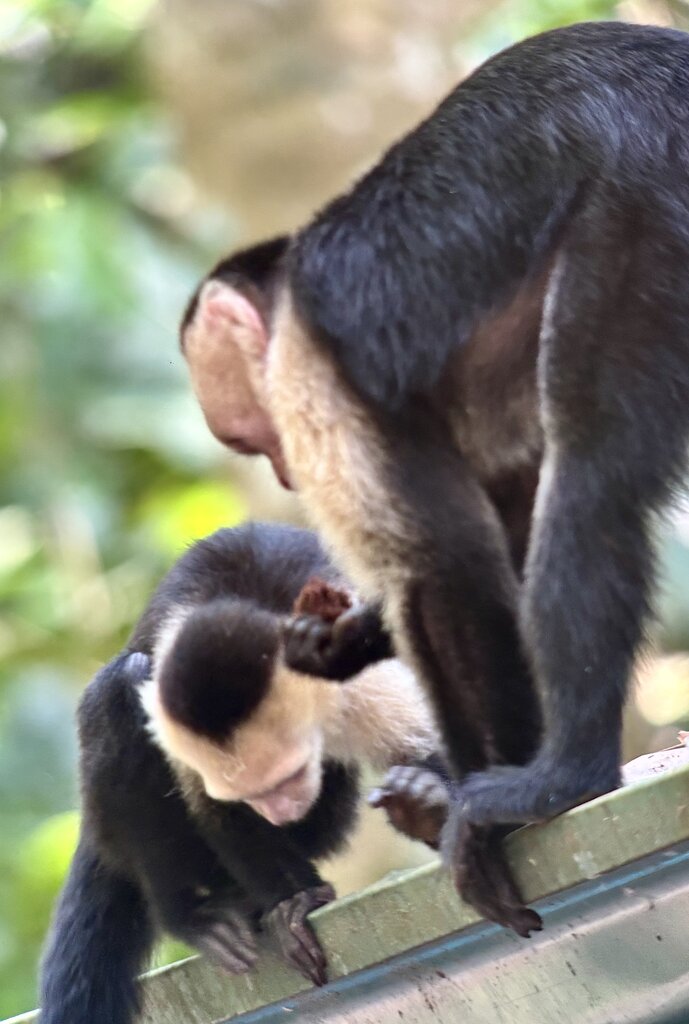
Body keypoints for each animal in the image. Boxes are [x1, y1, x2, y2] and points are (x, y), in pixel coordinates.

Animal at [39, 522, 447, 1024]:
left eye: (291, 776)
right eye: (251, 794)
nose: (279, 813)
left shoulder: (358, 673)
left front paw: (425, 808)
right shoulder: (173, 722)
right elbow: (226, 822)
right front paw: (293, 902)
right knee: (121, 686)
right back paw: (197, 913)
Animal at [179, 21, 689, 933]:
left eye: (254, 436)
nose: (281, 470)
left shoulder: (307, 360)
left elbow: (446, 562)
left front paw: (455, 802)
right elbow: (499, 529)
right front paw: (339, 638)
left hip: (642, 210)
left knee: (590, 471)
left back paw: (565, 776)